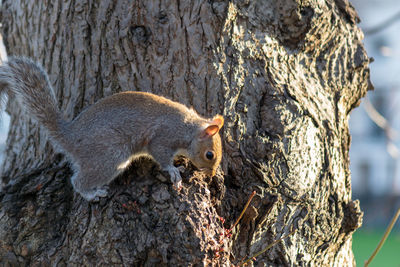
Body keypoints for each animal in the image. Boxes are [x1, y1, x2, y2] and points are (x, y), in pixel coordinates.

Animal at [0, 57, 225, 202]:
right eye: (210, 155)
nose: (211, 174)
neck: (189, 128)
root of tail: (69, 136)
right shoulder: (165, 136)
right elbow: (160, 154)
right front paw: (173, 170)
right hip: (109, 156)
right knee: (77, 180)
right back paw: (92, 193)